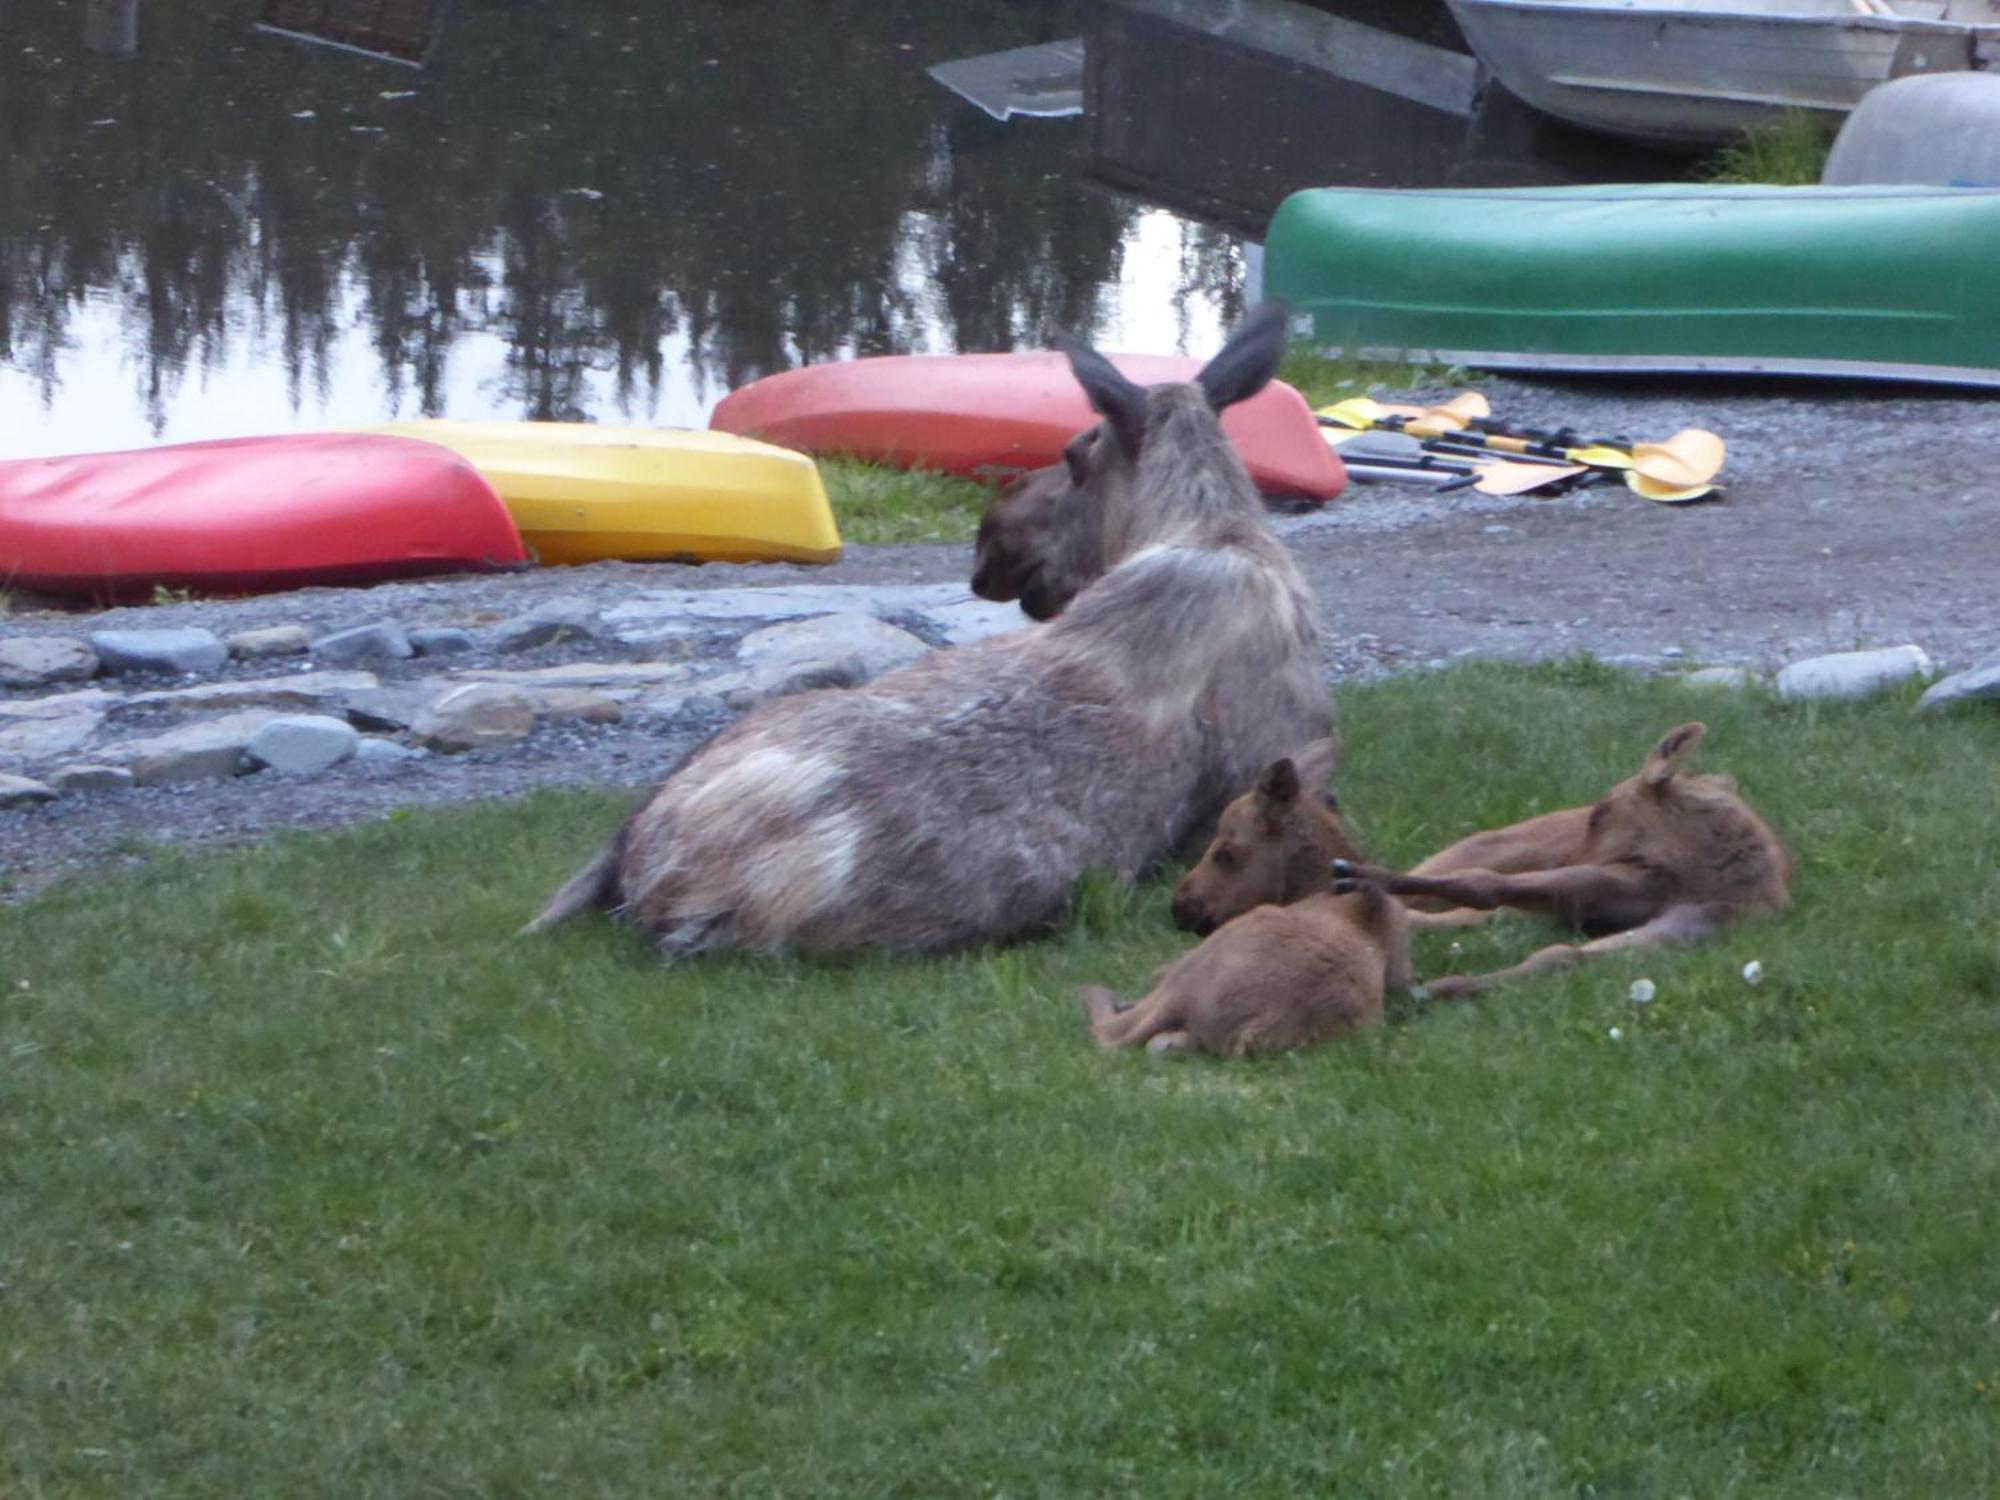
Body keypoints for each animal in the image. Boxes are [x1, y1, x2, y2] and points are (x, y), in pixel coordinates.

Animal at [1336, 724, 1792, 1004]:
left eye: (1601, 813)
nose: (1572, 852)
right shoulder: (1632, 884)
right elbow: (1483, 885)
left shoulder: (1686, 921)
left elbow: (1557, 954)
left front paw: (1443, 989)